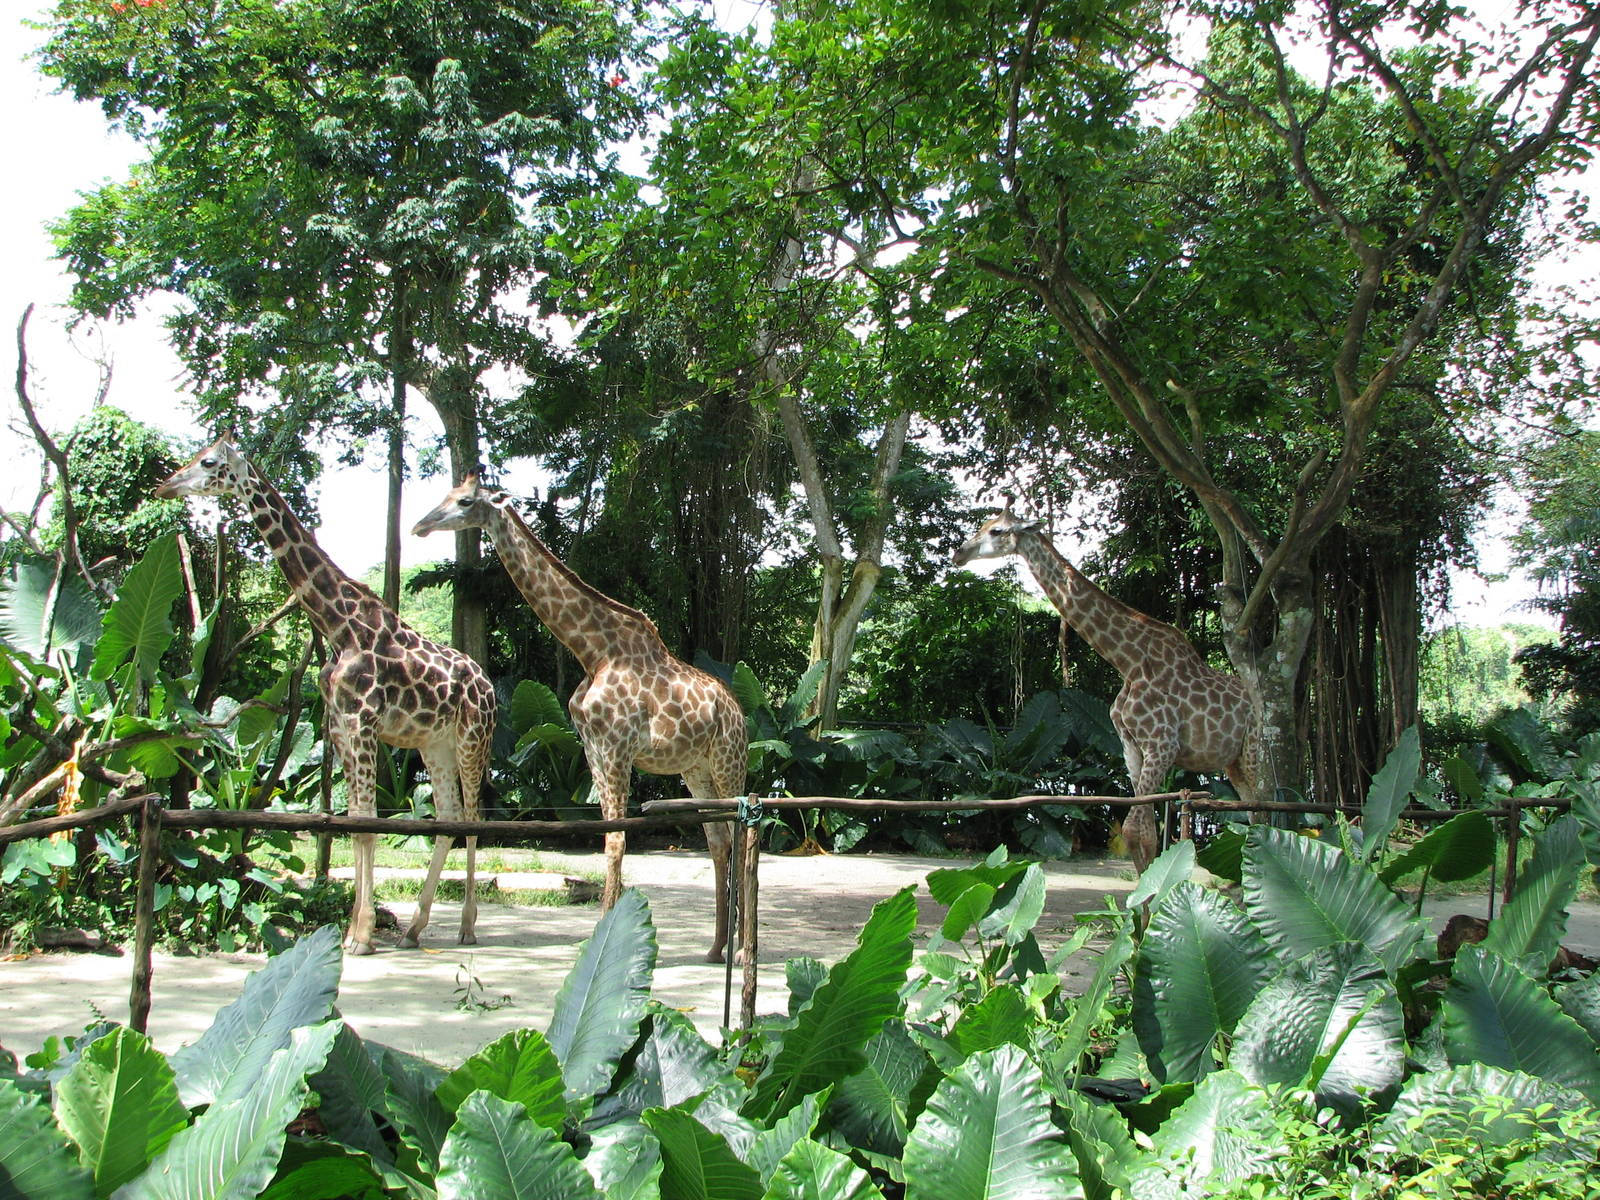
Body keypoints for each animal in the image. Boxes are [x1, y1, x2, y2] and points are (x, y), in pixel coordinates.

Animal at [155, 436, 496, 955]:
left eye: (208, 462)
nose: (165, 485)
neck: (338, 628)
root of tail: (490, 685)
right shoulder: (338, 726)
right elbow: (353, 821)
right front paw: (356, 930)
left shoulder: (363, 724)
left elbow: (368, 823)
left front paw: (361, 936)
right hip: (432, 744)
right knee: (449, 817)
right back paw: (415, 929)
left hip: (472, 738)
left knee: (473, 818)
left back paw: (468, 926)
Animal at [413, 474, 747, 961]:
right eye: (446, 494)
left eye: (466, 501)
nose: (421, 524)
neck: (592, 652)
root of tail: (739, 712)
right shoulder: (593, 749)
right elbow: (609, 835)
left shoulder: (617, 749)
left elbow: (617, 840)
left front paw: (606, 934)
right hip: (695, 768)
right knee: (718, 840)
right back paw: (716, 946)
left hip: (728, 760)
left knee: (742, 832)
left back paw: (739, 949)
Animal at [955, 510, 1260, 873]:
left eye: (996, 531)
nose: (959, 554)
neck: (1128, 662)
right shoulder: (1131, 747)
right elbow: (1144, 833)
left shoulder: (1162, 744)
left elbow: (1133, 829)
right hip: (1232, 764)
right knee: (1255, 813)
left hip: (1254, 750)